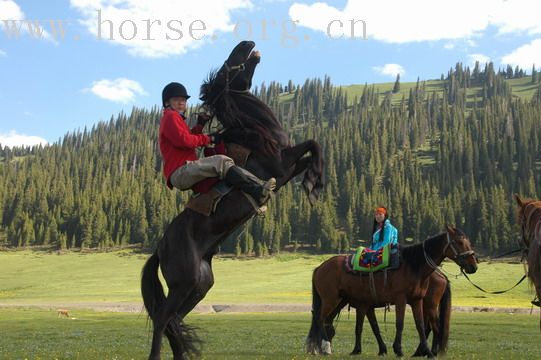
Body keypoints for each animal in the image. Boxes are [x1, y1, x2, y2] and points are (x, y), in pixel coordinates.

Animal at [304, 225, 476, 358]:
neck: (413, 266)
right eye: (460, 242)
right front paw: (397, 350)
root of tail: (319, 268)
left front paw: (426, 352)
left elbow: (419, 325)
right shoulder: (398, 300)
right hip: (331, 299)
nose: (473, 266)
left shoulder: (415, 300)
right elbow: (396, 324)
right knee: (320, 319)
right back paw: (325, 348)